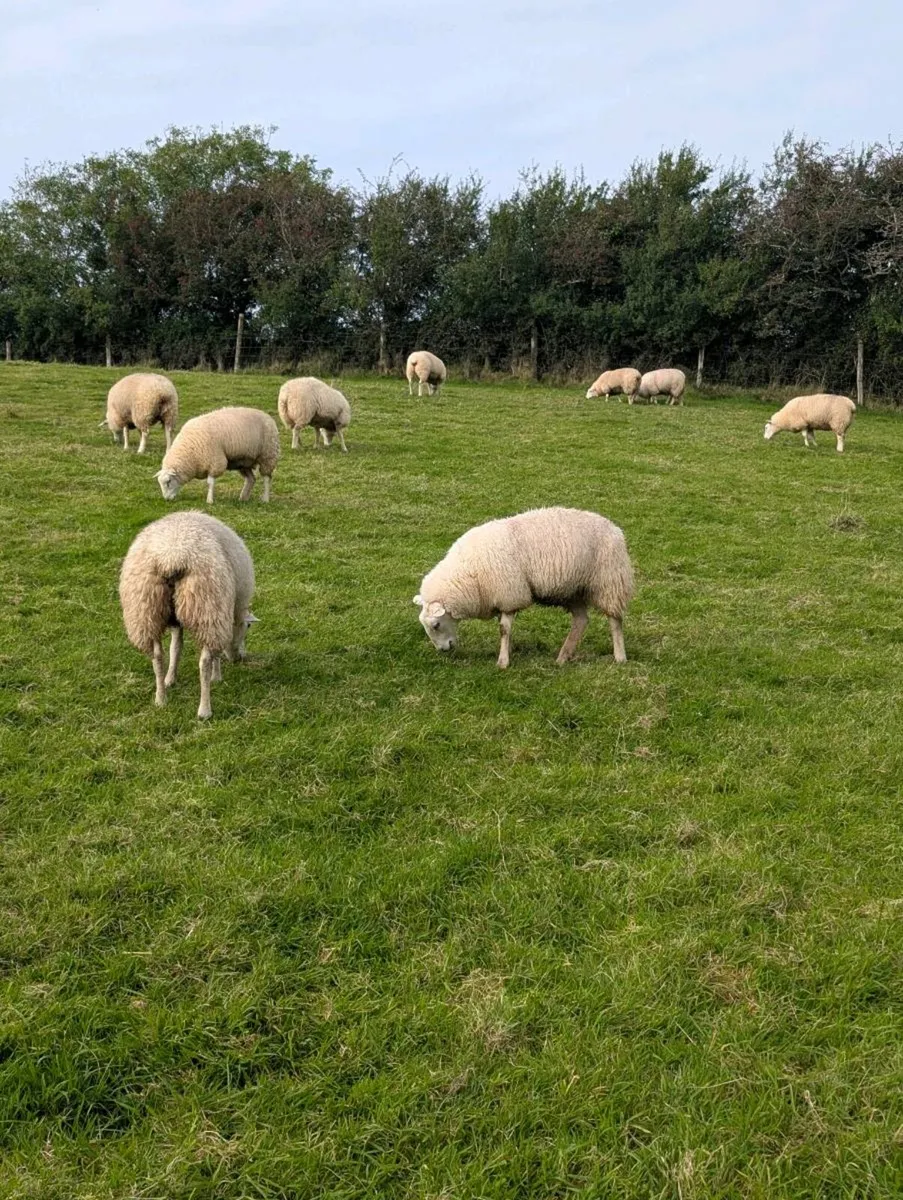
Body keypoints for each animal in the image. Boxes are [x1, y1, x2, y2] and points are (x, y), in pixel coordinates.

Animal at [119, 510, 257, 719]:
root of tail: (171, 558)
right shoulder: (223, 612)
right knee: (204, 662)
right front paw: (217, 676)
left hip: (146, 611)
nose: (240, 658)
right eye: (248, 627)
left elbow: (176, 647)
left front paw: (170, 678)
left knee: (157, 656)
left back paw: (160, 699)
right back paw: (204, 710)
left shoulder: (176, 620)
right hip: (208, 606)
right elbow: (215, 652)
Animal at [414, 506, 634, 669]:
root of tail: (615, 528)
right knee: (581, 620)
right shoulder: (504, 597)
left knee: (615, 620)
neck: (468, 574)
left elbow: (503, 629)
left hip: (610, 582)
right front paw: (507, 652)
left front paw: (503, 662)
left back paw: (620, 657)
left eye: (436, 625)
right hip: (573, 591)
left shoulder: (509, 594)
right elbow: (505, 629)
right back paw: (563, 657)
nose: (444, 650)